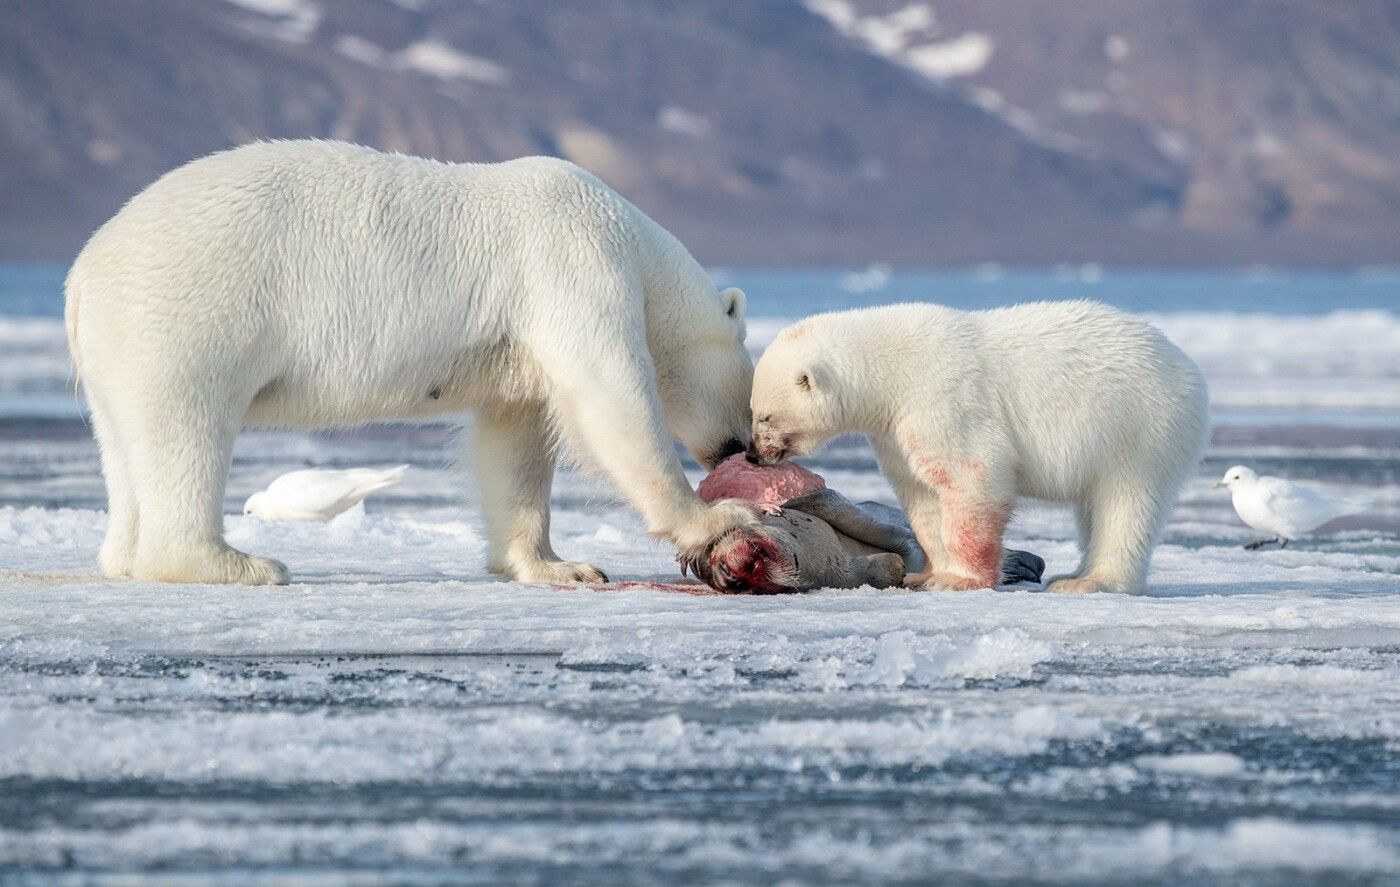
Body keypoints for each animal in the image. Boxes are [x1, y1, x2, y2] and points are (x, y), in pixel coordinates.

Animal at [69, 139, 761, 579]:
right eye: (749, 396)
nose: (742, 451)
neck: (634, 245)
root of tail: (82, 276)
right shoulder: (574, 263)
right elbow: (608, 394)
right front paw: (718, 515)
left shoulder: (517, 348)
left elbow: (515, 436)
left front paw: (557, 566)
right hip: (188, 315)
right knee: (186, 429)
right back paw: (238, 564)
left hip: (113, 352)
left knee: (124, 447)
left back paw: (124, 557)